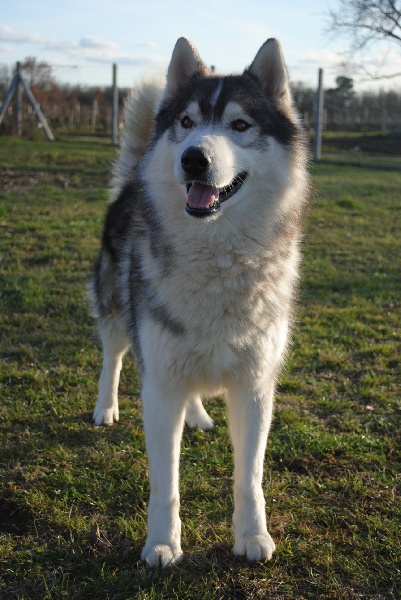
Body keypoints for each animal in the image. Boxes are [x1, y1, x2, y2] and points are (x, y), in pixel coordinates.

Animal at [90, 38, 310, 568]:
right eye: (187, 122)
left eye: (239, 125)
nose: (193, 159)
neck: (217, 255)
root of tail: (131, 182)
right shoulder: (160, 384)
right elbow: (164, 482)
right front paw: (162, 544)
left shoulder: (255, 386)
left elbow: (250, 476)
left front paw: (252, 536)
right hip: (118, 313)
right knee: (112, 357)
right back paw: (105, 408)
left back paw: (198, 416)